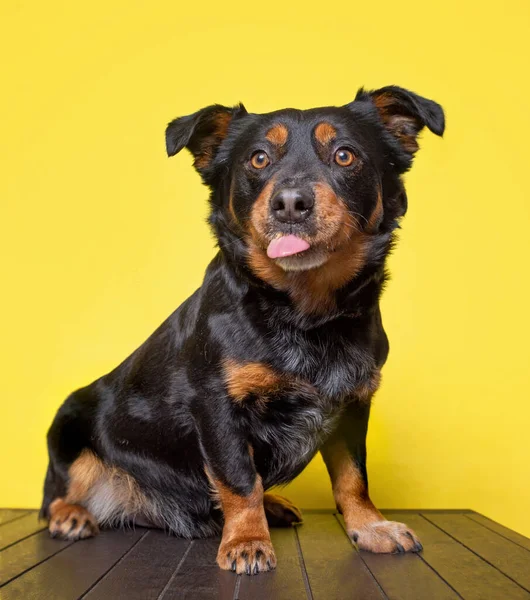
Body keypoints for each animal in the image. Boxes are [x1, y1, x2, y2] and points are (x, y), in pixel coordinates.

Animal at [41, 86, 444, 576]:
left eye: (345, 155)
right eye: (258, 159)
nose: (289, 203)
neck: (304, 314)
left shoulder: (352, 406)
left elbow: (354, 477)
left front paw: (369, 527)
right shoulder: (217, 407)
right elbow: (239, 480)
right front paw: (247, 540)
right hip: (67, 424)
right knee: (57, 492)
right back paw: (72, 515)